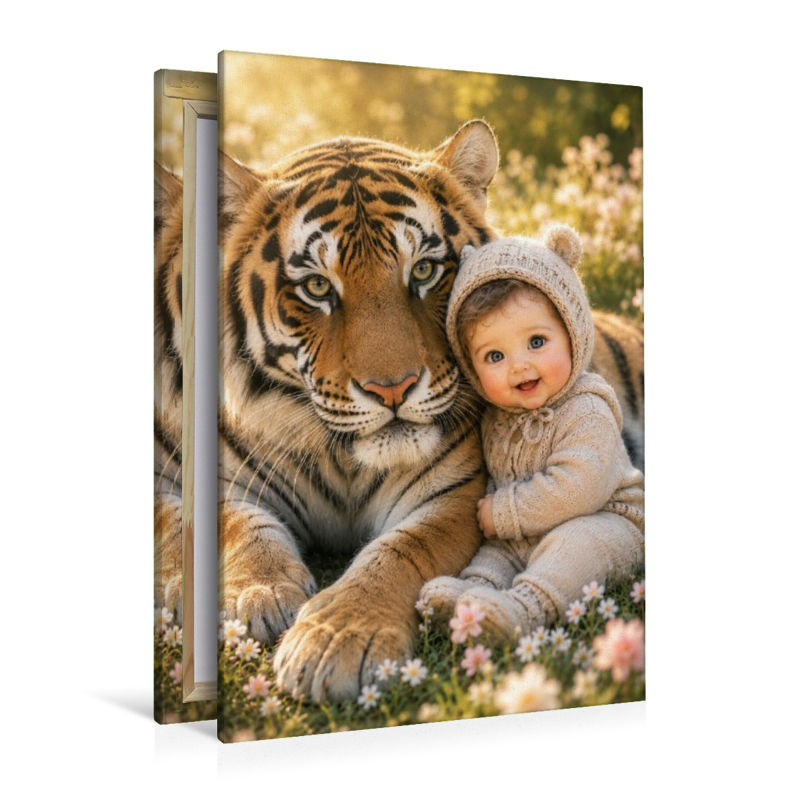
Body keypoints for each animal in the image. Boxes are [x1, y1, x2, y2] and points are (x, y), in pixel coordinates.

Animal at [217, 119, 644, 704]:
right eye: (318, 286)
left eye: (422, 270)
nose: (392, 389)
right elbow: (236, 527)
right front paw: (261, 596)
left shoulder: (454, 491)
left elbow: (402, 553)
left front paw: (335, 641)